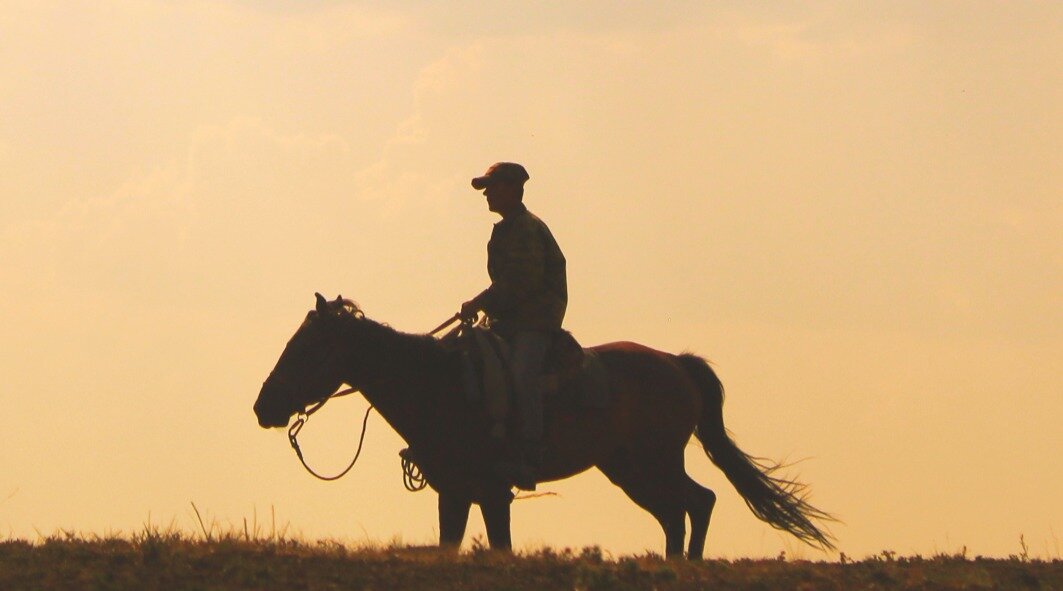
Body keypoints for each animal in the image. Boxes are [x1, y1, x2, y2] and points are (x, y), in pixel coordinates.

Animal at [252, 295, 833, 556]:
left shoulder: (492, 491)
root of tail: (676, 363)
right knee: (678, 510)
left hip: (654, 461)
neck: (439, 385)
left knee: (698, 502)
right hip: (629, 469)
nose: (263, 407)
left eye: (307, 348)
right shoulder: (454, 492)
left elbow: (501, 545)